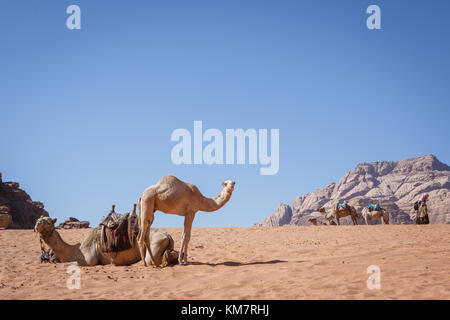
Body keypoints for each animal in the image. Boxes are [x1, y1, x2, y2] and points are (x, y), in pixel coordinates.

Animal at [34, 215, 178, 268]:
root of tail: (167, 235)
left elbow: (69, 264)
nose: (37, 224)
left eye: (48, 222)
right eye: (39, 219)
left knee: (150, 261)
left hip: (155, 244)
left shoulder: (89, 260)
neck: (75, 249)